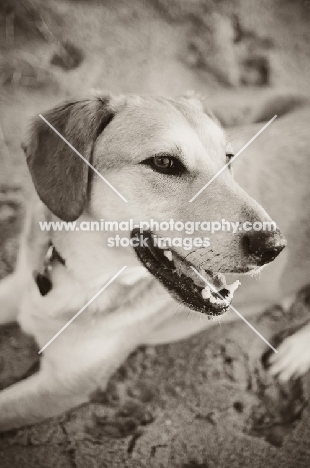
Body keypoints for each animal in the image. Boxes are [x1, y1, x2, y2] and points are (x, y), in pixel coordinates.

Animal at [0, 92, 306, 432]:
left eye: (228, 159)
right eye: (163, 162)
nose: (274, 247)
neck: (84, 275)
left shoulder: (63, 385)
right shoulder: (18, 288)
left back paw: (295, 353)